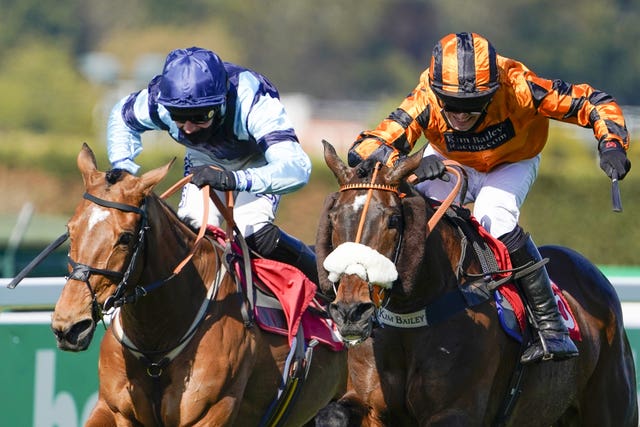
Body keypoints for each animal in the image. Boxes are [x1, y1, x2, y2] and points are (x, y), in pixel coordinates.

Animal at [50, 145, 348, 427]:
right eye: (70, 230)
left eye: (125, 237)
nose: (70, 326)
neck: (156, 342)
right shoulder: (113, 409)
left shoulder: (210, 412)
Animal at [316, 141, 636, 427]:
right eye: (333, 216)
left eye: (393, 220)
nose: (351, 312)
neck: (414, 313)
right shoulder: (370, 403)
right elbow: (332, 414)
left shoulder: (455, 412)